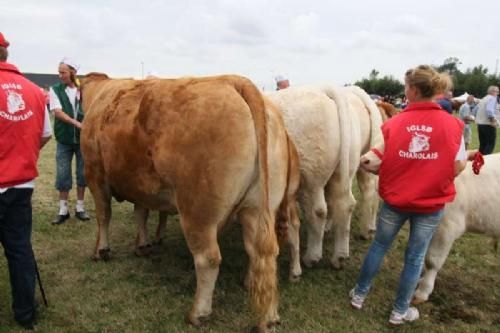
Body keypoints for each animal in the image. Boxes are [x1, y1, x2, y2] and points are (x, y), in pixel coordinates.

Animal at [80, 74, 298, 330]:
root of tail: (234, 80)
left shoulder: (94, 173)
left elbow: (104, 214)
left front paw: (101, 250)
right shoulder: (139, 184)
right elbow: (140, 213)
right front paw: (142, 246)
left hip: (197, 211)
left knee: (208, 258)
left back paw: (198, 313)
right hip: (258, 208)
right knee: (263, 254)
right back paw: (269, 317)